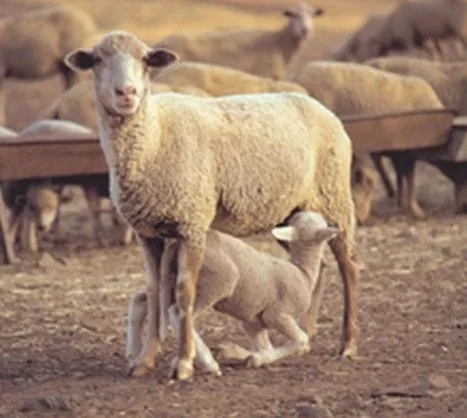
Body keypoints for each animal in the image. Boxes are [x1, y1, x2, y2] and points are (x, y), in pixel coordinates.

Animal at [64, 31, 360, 380]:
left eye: (146, 61)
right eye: (97, 60)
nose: (127, 92)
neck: (154, 137)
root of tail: (322, 108)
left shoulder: (192, 223)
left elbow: (183, 293)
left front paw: (184, 362)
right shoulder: (146, 232)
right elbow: (154, 290)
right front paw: (146, 359)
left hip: (334, 196)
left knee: (349, 266)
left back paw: (348, 344)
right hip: (291, 212)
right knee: (322, 264)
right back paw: (308, 330)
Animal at [286, 61, 446, 222]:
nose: (361, 219)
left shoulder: (399, 153)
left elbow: (402, 177)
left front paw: (402, 204)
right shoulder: (407, 151)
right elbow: (408, 178)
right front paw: (416, 210)